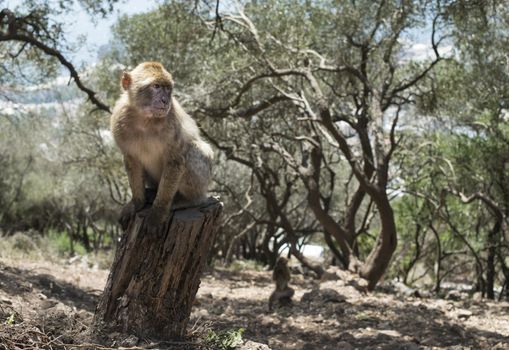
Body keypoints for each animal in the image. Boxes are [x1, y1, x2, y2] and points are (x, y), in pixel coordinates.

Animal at [110, 61, 213, 234]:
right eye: (156, 86)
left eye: (168, 88)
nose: (166, 100)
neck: (145, 119)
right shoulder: (119, 122)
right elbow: (132, 160)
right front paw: (136, 203)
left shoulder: (172, 124)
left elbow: (176, 160)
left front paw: (158, 212)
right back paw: (150, 194)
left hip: (204, 180)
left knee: (192, 150)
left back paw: (188, 200)